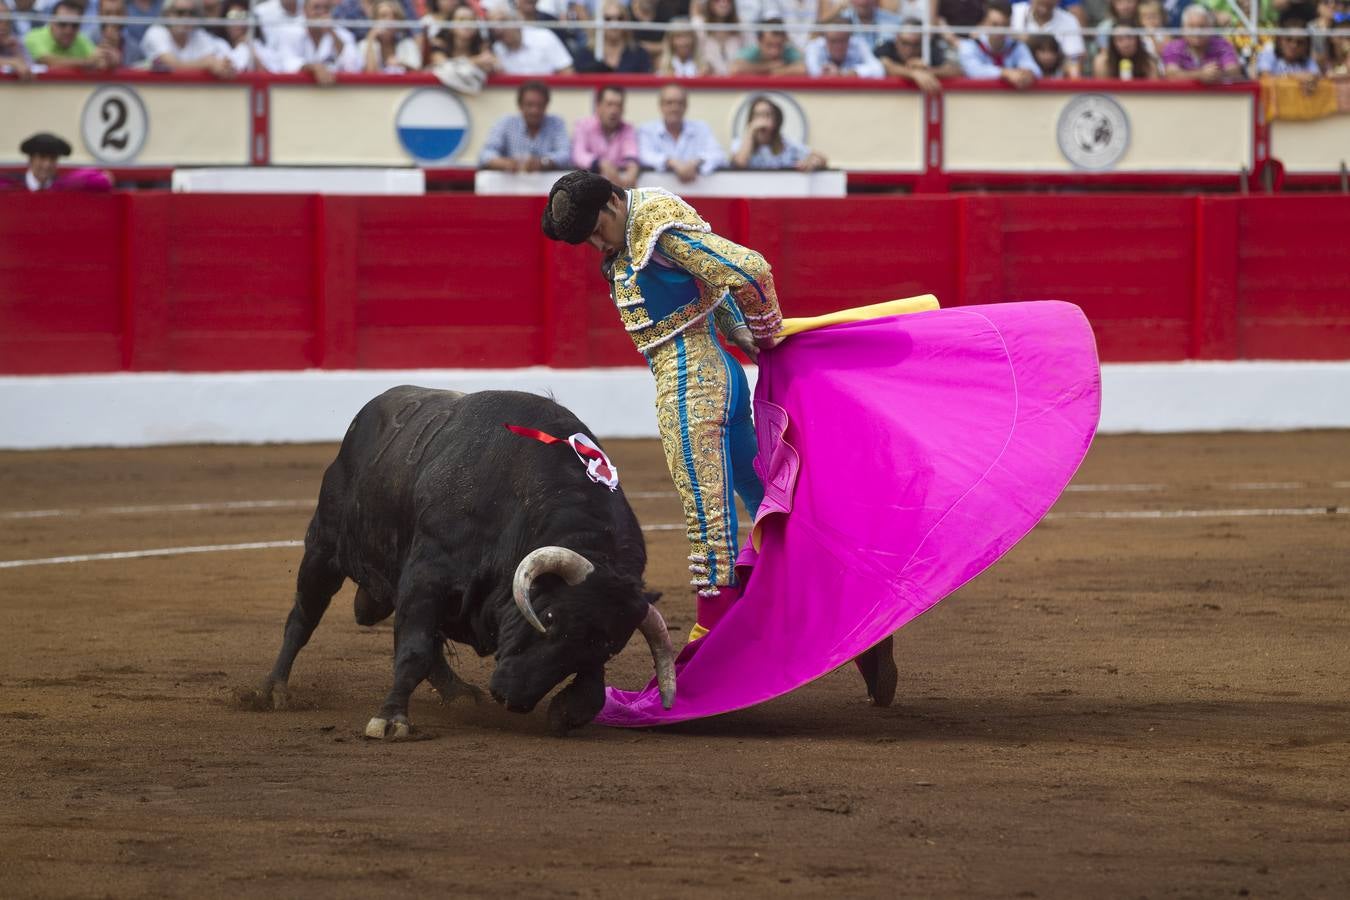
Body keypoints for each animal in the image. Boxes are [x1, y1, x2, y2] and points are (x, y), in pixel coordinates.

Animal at [247, 388, 675, 739]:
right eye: (549, 618)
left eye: (608, 648)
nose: (513, 698)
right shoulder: (427, 575)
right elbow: (414, 649)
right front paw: (390, 720)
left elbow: (593, 691)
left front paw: (566, 712)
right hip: (323, 547)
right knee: (303, 617)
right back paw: (272, 691)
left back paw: (459, 694)